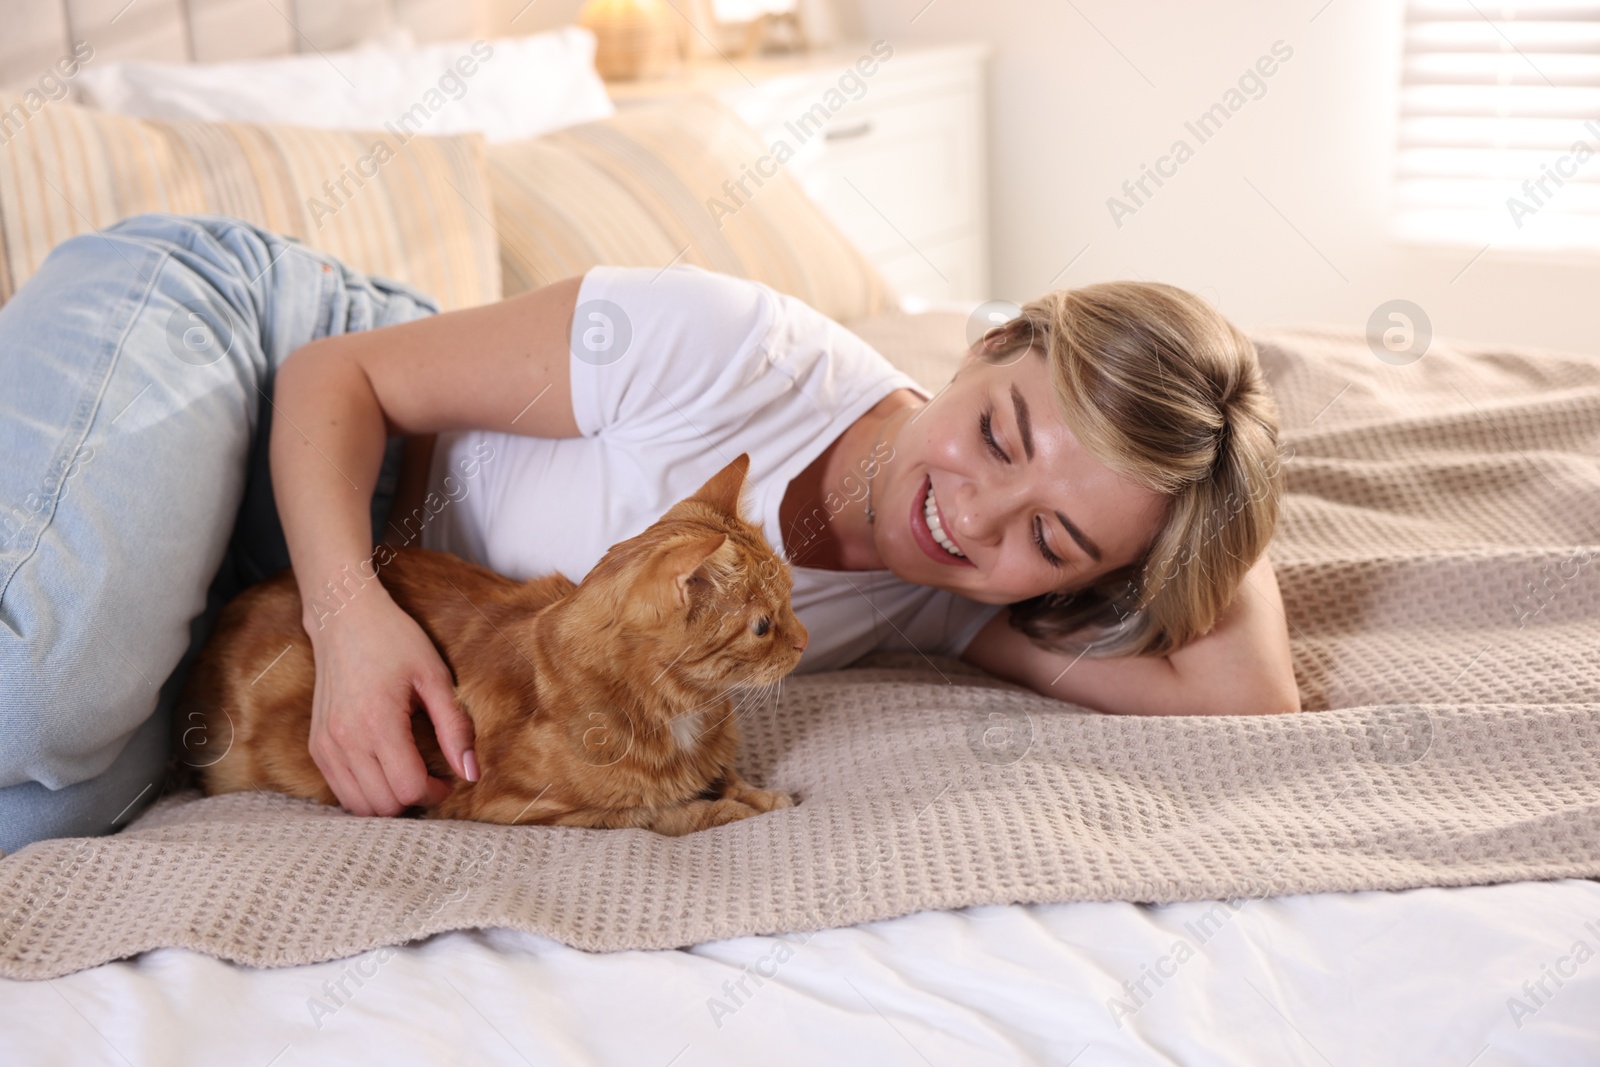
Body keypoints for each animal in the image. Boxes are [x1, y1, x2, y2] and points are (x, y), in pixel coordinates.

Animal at [175, 451, 806, 831]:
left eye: (792, 594)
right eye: (762, 626)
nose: (803, 640)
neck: (683, 714)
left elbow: (728, 779)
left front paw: (762, 795)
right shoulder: (527, 809)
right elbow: (669, 813)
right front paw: (736, 809)